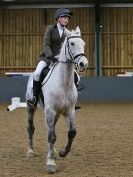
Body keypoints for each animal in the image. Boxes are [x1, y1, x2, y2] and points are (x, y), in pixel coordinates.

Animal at [25, 26, 88, 173]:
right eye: (72, 43)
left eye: (83, 44)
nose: (83, 64)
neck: (63, 83)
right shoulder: (50, 110)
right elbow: (52, 136)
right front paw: (50, 164)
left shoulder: (69, 111)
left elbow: (71, 133)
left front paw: (63, 152)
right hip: (31, 107)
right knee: (31, 128)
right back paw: (30, 151)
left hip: (57, 113)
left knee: (51, 128)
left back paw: (53, 151)